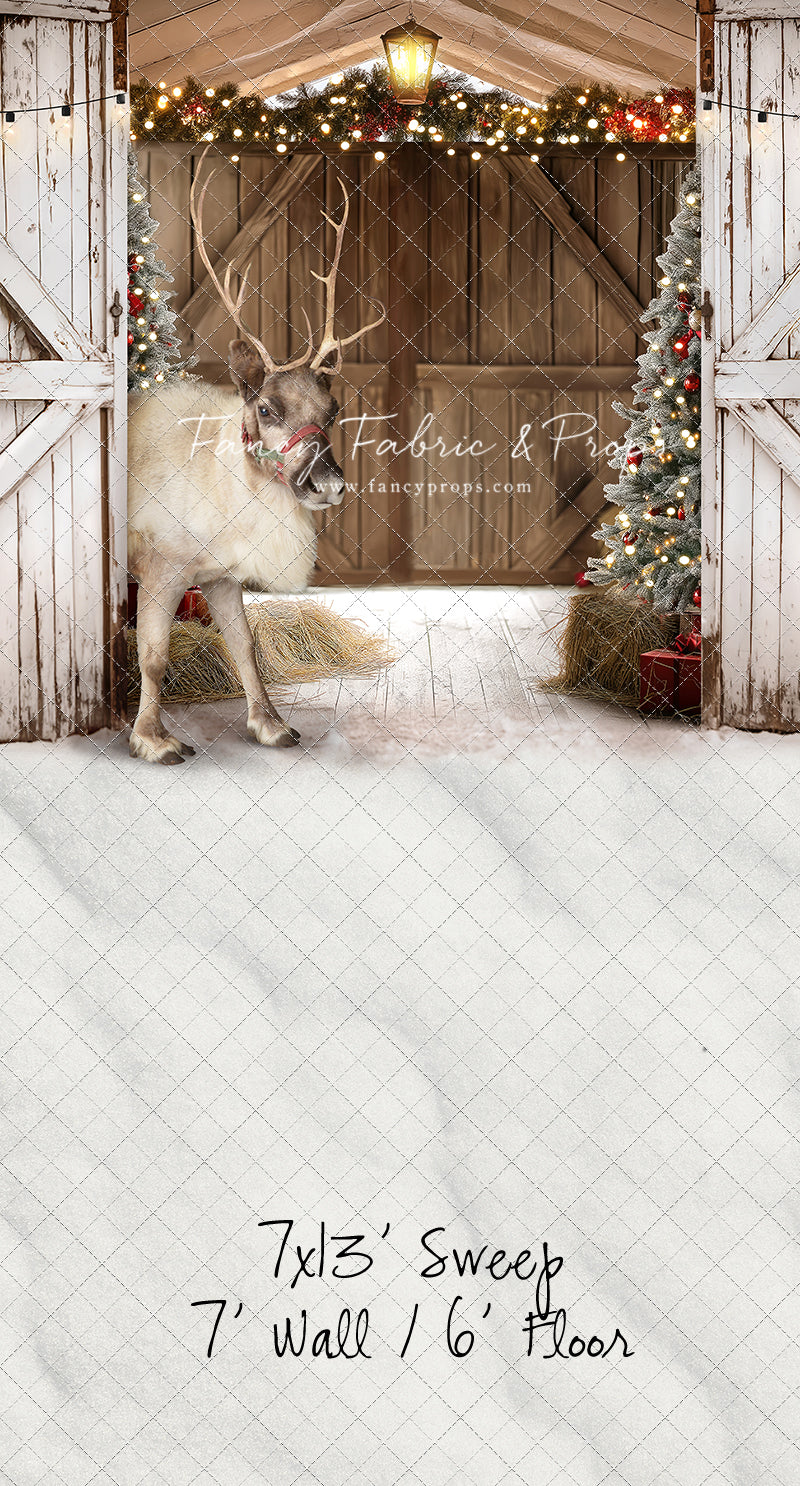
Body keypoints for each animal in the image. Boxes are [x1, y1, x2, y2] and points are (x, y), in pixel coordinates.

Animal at [127, 161, 384, 764]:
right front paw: (152, 738)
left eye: (333, 410)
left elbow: (245, 648)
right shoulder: (160, 568)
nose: (327, 483)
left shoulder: (220, 577)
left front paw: (270, 724)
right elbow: (154, 655)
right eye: (266, 408)